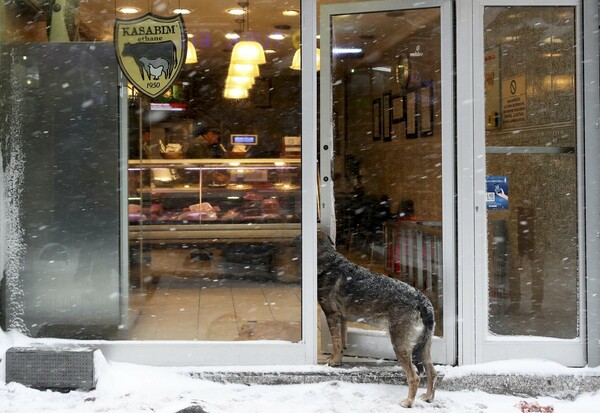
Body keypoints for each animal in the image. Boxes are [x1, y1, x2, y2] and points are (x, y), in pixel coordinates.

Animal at [318, 230, 436, 408]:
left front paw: (333, 361)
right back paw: (428, 397)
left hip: (400, 346)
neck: (329, 262)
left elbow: (336, 343)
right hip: (424, 347)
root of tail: (422, 301)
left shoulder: (332, 315)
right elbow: (342, 342)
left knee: (414, 377)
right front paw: (339, 359)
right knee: (432, 372)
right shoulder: (342, 318)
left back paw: (408, 402)